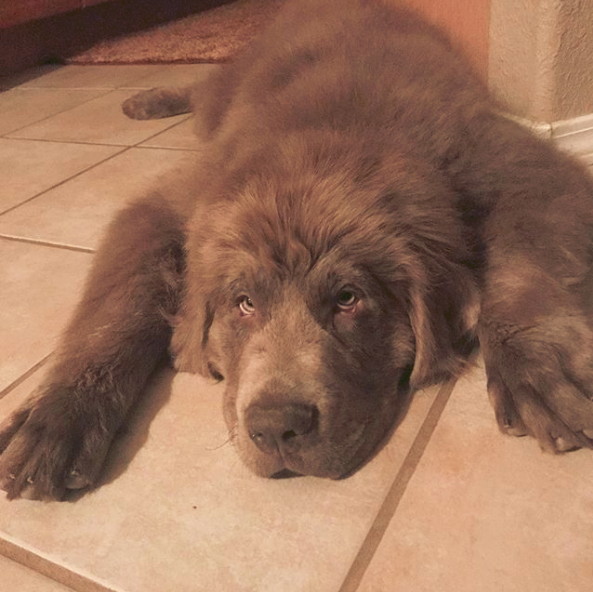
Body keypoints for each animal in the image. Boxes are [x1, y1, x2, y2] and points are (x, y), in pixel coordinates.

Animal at [1, 0, 592, 502]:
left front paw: (536, 366)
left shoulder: (519, 166)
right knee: (204, 86)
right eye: (243, 303)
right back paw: (148, 99)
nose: (275, 427)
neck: (335, 137)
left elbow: (526, 269)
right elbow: (114, 311)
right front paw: (58, 417)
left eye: (348, 298)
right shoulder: (172, 204)